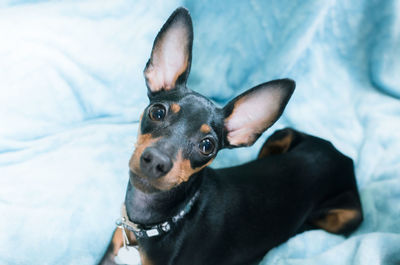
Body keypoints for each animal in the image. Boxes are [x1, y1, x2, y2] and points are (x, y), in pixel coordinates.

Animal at [99, 6, 362, 264]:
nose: (156, 161)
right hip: (279, 136)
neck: (151, 225)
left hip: (348, 218)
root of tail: (340, 155)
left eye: (207, 146)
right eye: (157, 112)